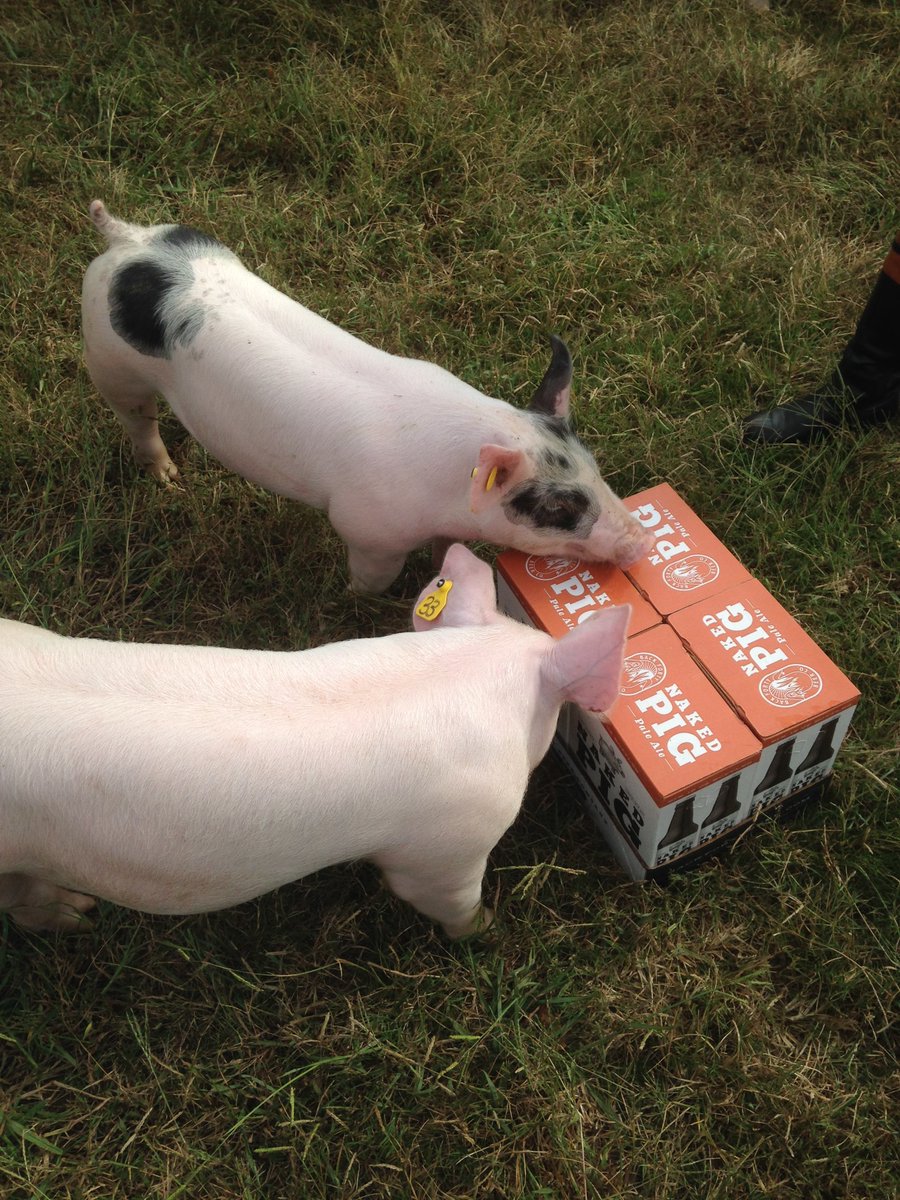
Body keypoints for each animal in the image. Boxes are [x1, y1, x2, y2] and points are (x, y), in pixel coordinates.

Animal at [0, 546, 629, 940]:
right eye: (554, 714)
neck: (463, 673)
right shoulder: (449, 845)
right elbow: (443, 898)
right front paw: (488, 933)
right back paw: (80, 918)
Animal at [82, 201, 654, 592]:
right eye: (558, 507)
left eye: (596, 472)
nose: (642, 541)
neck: (450, 491)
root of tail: (128, 240)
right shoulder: (366, 529)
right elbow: (372, 579)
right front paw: (356, 599)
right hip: (108, 360)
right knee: (137, 420)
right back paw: (169, 479)